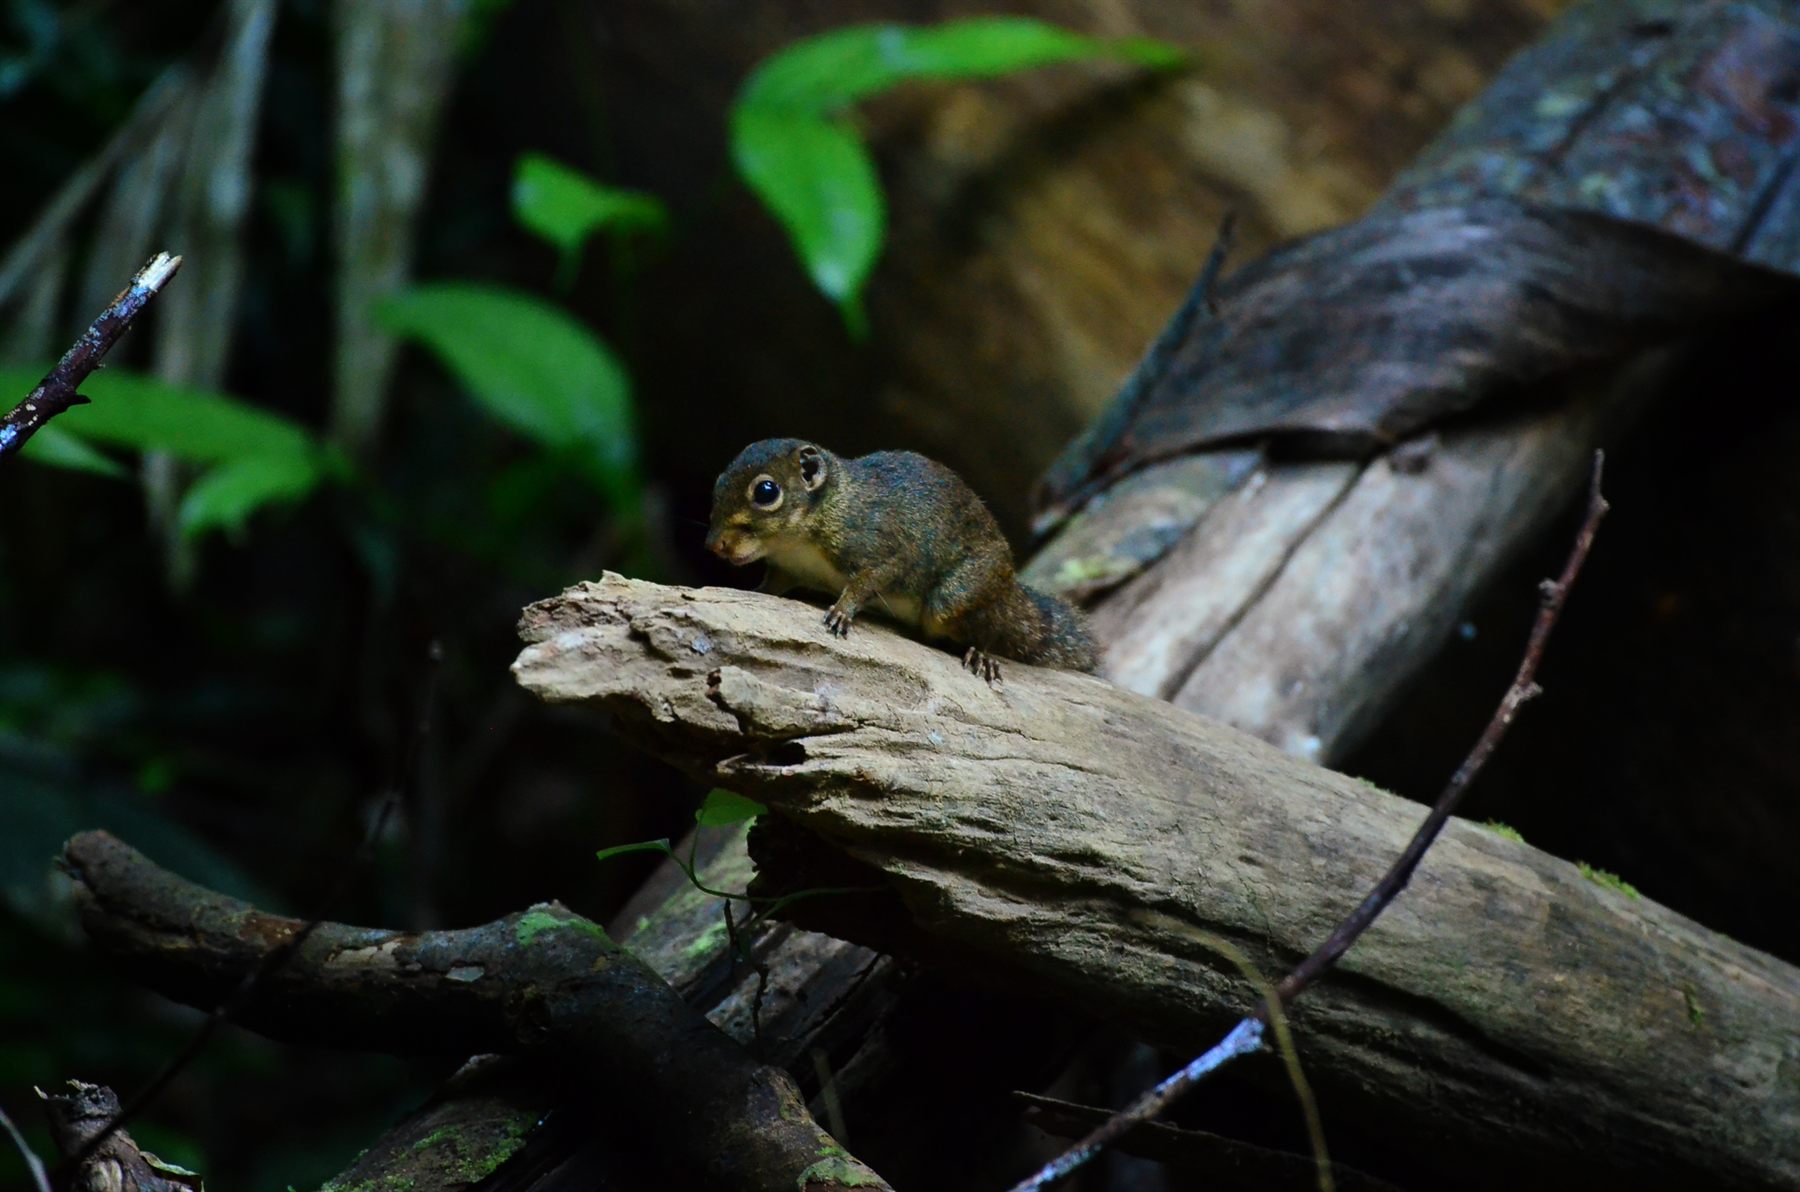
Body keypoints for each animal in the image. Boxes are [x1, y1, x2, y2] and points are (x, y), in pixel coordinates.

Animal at [705, 439, 1098, 682]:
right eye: (719, 479)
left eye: (766, 491)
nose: (713, 545)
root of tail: (1010, 589)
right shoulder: (786, 570)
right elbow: (772, 586)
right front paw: (754, 591)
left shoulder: (883, 548)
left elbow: (869, 580)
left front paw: (842, 610)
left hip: (956, 598)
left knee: (993, 627)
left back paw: (982, 652)